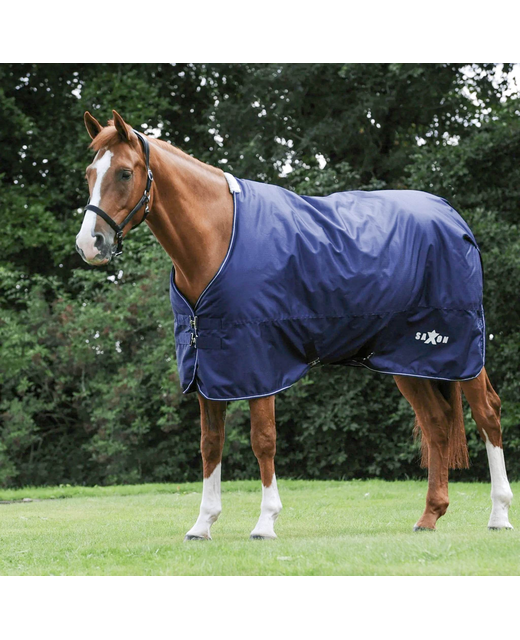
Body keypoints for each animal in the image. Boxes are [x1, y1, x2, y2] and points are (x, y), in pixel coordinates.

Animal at [76, 110, 514, 540]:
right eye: (89, 173)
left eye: (125, 173)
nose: (89, 243)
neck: (218, 238)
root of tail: (451, 216)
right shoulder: (208, 367)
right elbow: (210, 443)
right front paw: (203, 524)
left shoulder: (260, 363)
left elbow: (263, 440)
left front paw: (265, 521)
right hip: (408, 360)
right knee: (437, 424)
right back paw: (429, 516)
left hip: (460, 348)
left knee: (487, 413)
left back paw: (499, 514)